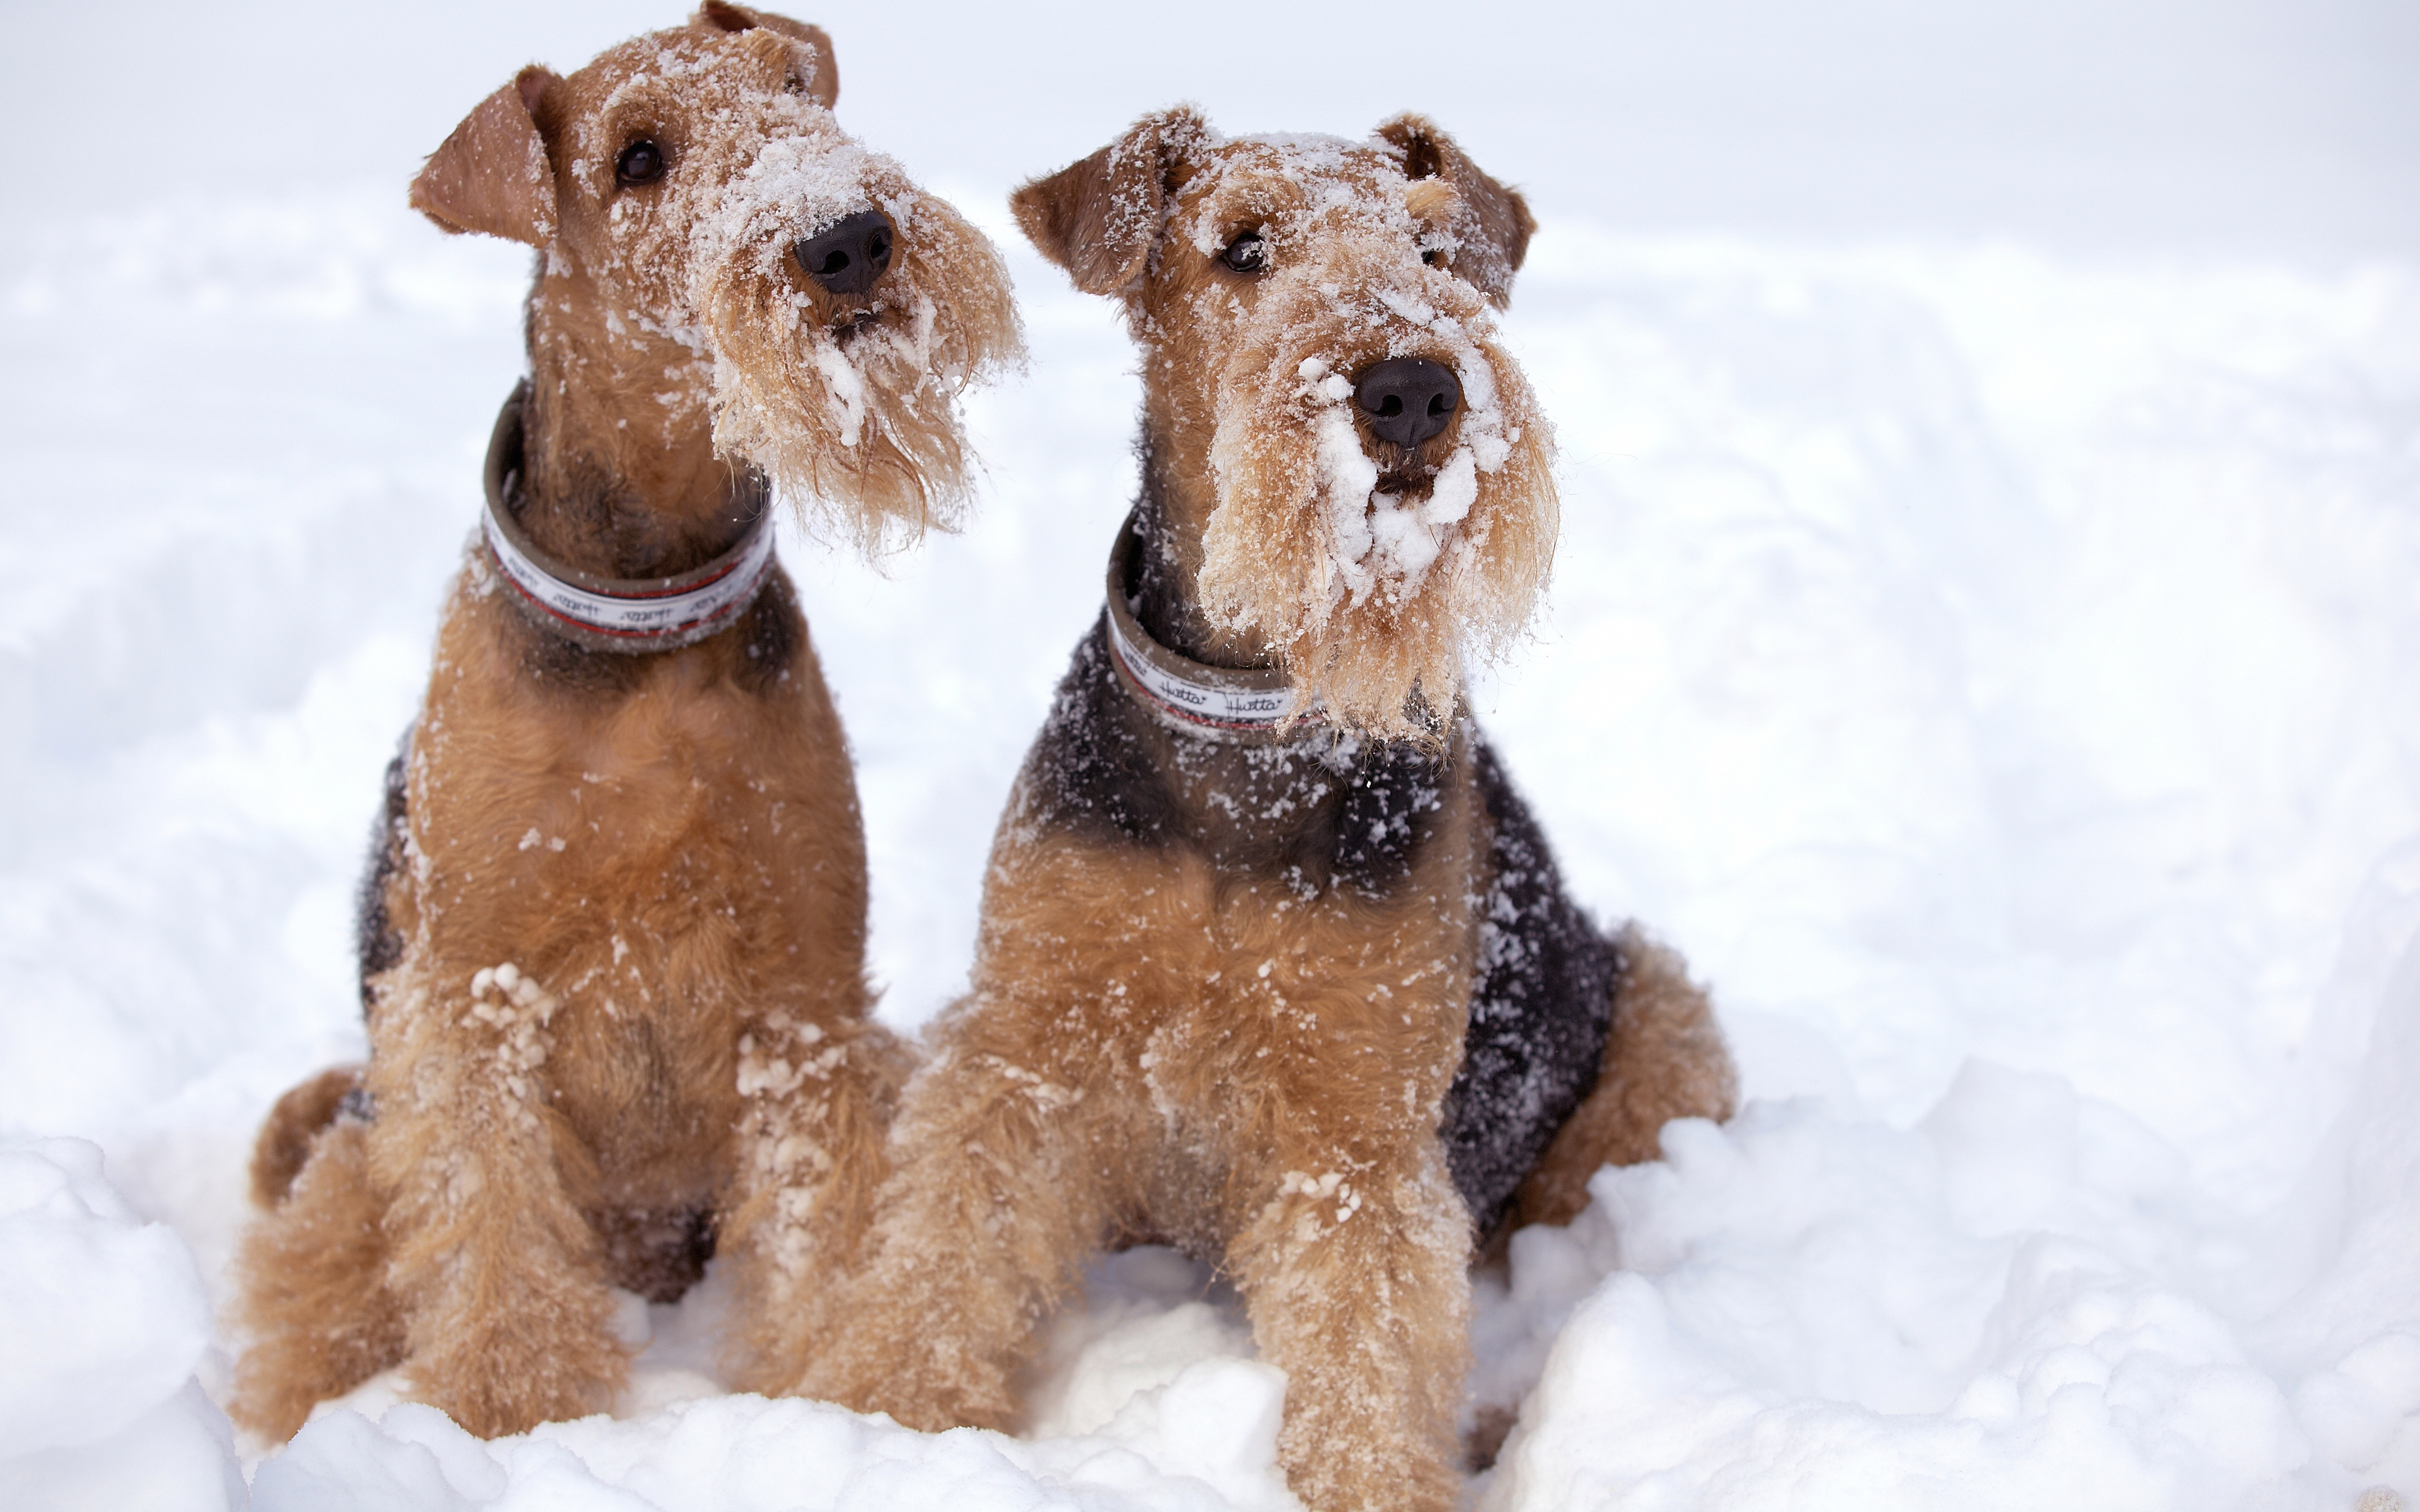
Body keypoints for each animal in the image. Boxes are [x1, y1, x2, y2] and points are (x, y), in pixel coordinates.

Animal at [227, 0, 1021, 1441]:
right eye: (638, 159)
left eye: (794, 86)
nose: (847, 237)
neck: (647, 607)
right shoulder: (476, 995)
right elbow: (490, 1236)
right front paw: (505, 1416)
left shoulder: (803, 995)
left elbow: (820, 1231)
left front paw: (818, 1396)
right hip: (368, 1139)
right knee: (315, 1288)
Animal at [803, 108, 1732, 1509]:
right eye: (1241, 246)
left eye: (1434, 247)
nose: (1412, 388)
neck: (1248, 731)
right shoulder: (1030, 1043)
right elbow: (953, 1247)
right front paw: (889, 1424)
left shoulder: (1358, 1129)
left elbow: (1368, 1352)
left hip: (1661, 1024)